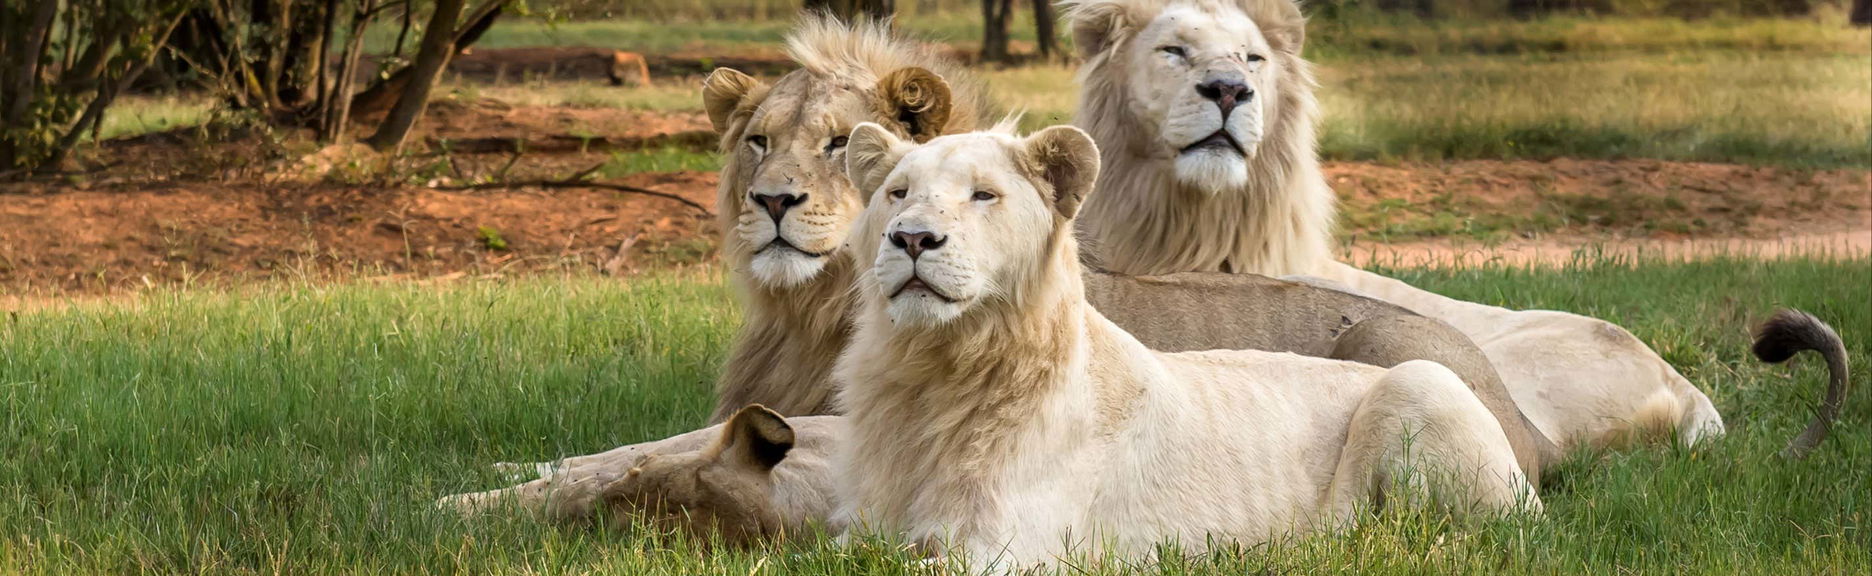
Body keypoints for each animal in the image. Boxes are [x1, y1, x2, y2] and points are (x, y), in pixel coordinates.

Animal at [831, 124, 1536, 565]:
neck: (934, 369)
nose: (911, 238)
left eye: (984, 195)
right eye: (897, 193)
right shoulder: (859, 530)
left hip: (1418, 379)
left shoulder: (1008, 549)